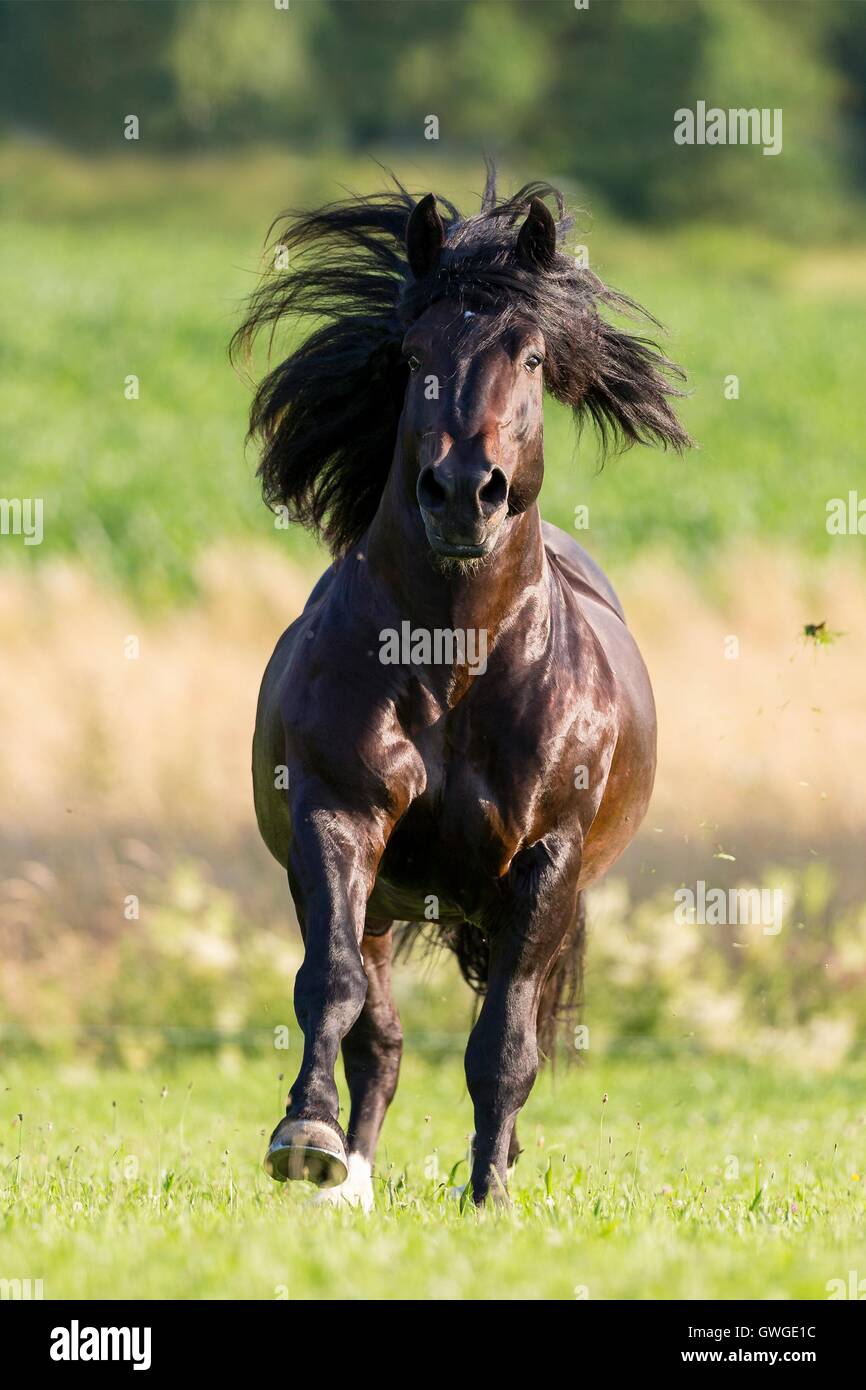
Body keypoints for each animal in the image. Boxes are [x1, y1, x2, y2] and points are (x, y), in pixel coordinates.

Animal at [234, 165, 692, 1206]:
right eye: (411, 355)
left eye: (533, 358)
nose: (460, 493)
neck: (451, 663)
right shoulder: (338, 818)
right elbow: (331, 990)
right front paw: (305, 1138)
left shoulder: (546, 864)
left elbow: (504, 1049)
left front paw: (488, 1198)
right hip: (379, 897)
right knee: (380, 1037)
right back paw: (350, 1179)